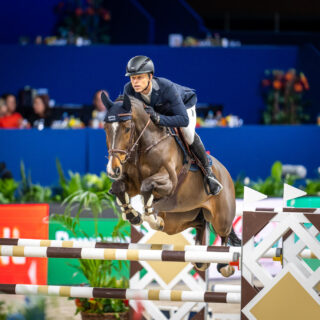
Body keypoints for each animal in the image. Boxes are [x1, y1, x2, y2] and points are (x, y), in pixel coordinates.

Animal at [102, 93, 240, 278]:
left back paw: (224, 266)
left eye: (127, 128)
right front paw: (134, 215)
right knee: (200, 224)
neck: (145, 145)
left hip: (221, 217)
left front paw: (152, 218)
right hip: (179, 219)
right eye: (105, 128)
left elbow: (147, 186)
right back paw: (200, 260)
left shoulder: (169, 182)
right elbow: (119, 188)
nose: (113, 169)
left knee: (224, 232)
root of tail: (225, 172)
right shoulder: (131, 183)